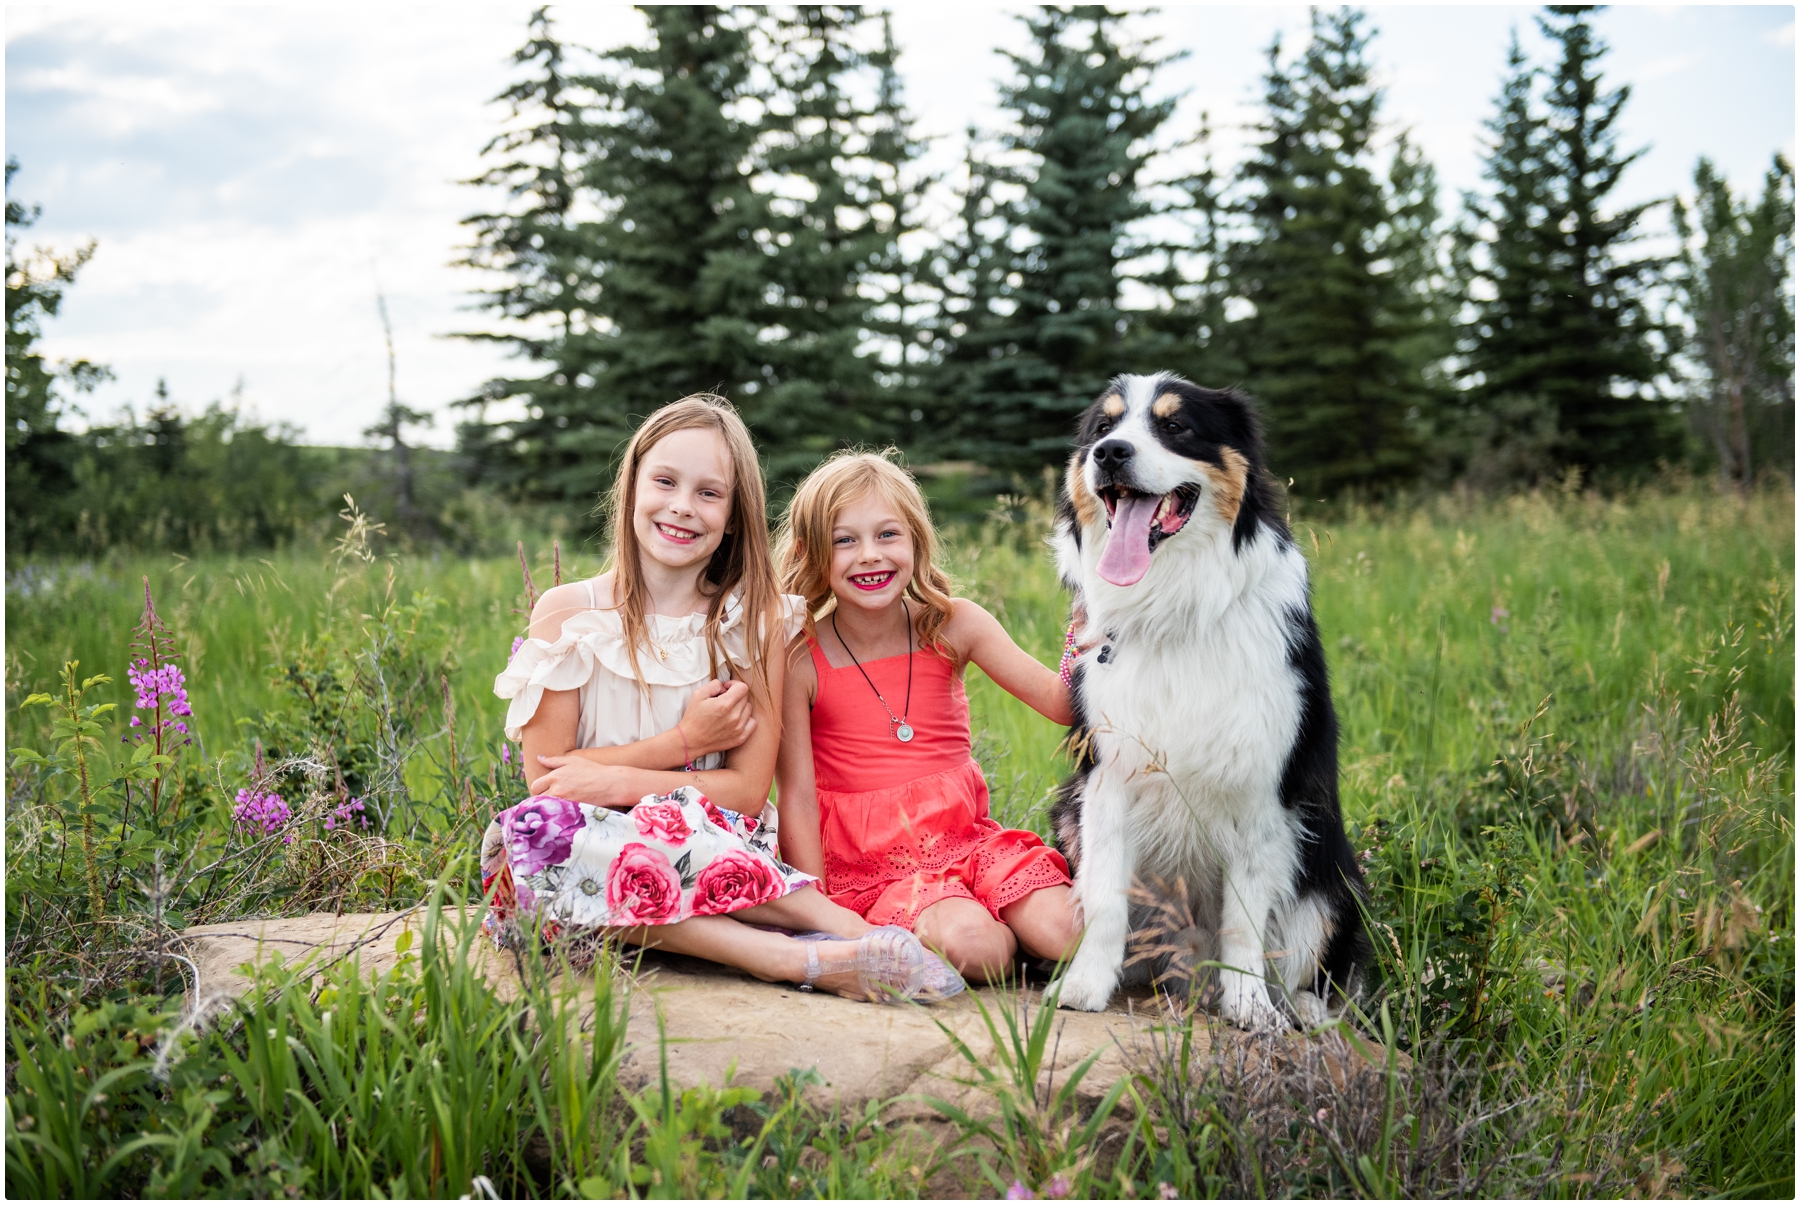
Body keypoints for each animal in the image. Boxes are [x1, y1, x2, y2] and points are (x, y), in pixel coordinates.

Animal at [1044, 369, 1360, 1023]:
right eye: (1103, 426)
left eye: (1176, 426)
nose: (1111, 453)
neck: (1174, 606)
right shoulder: (1107, 776)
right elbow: (1106, 901)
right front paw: (1084, 987)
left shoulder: (1263, 792)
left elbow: (1245, 918)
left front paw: (1250, 1009)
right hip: (1067, 814)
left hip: (1333, 875)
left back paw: (1301, 1012)